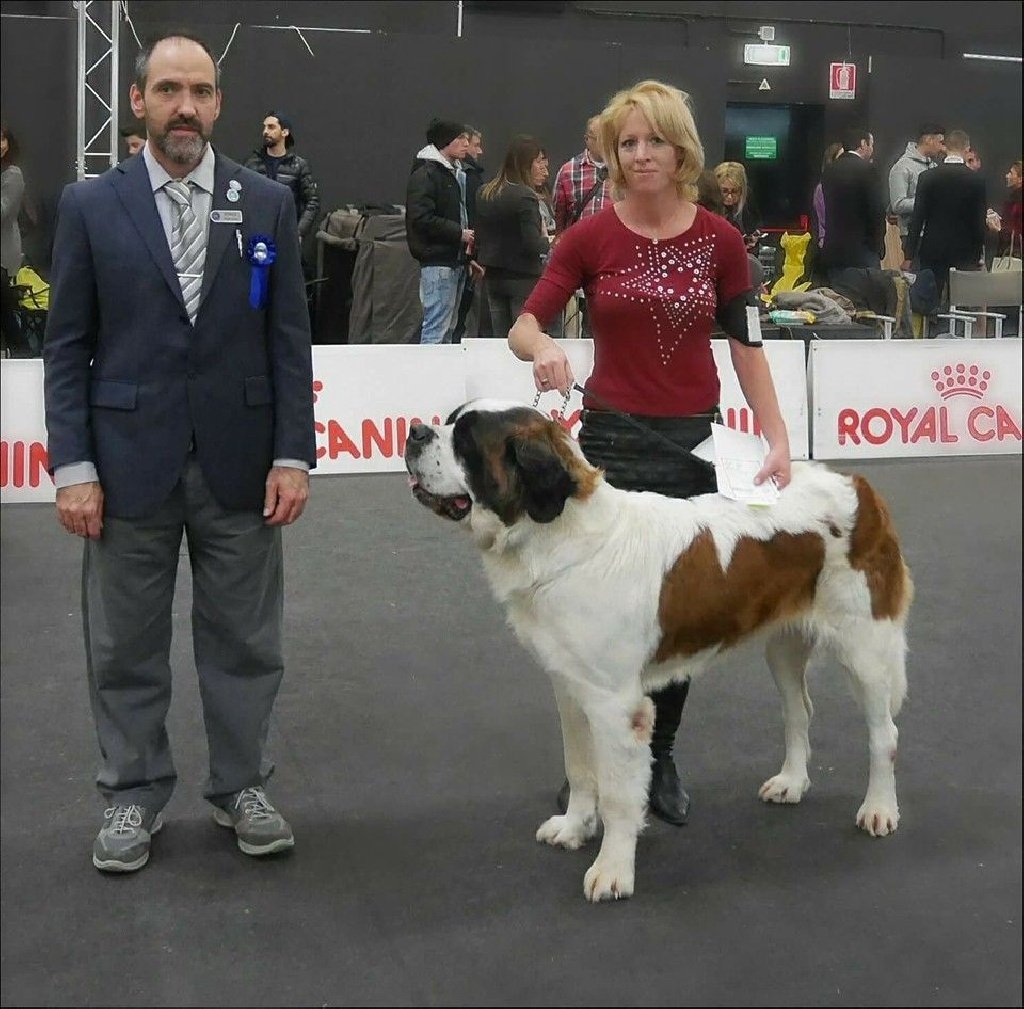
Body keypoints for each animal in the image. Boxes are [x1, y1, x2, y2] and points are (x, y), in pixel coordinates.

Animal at [403, 397, 917, 901]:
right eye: (448, 422)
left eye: (465, 440)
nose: (414, 432)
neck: (557, 537)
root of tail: (858, 485)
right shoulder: (569, 686)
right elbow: (580, 767)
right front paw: (573, 828)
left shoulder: (615, 705)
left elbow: (616, 792)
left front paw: (612, 872)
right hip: (783, 645)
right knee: (799, 710)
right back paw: (791, 783)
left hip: (865, 647)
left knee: (885, 733)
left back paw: (879, 809)